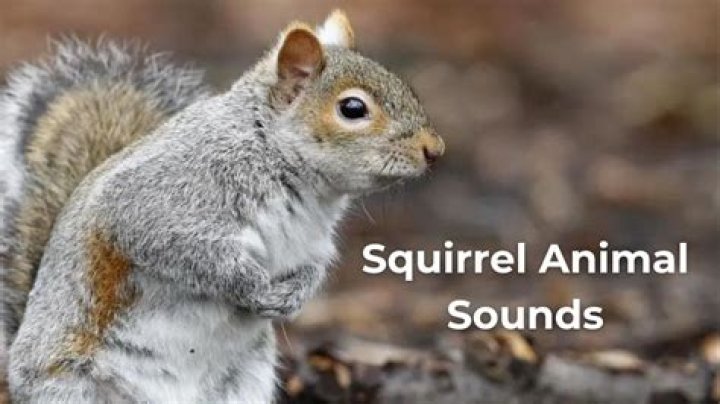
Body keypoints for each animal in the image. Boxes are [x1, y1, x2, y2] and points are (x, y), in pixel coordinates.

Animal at [0, 10, 444, 403]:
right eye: (353, 108)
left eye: (405, 87)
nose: (434, 149)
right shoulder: (157, 201)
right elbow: (188, 251)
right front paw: (252, 287)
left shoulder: (312, 242)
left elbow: (313, 269)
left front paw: (294, 296)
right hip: (72, 384)